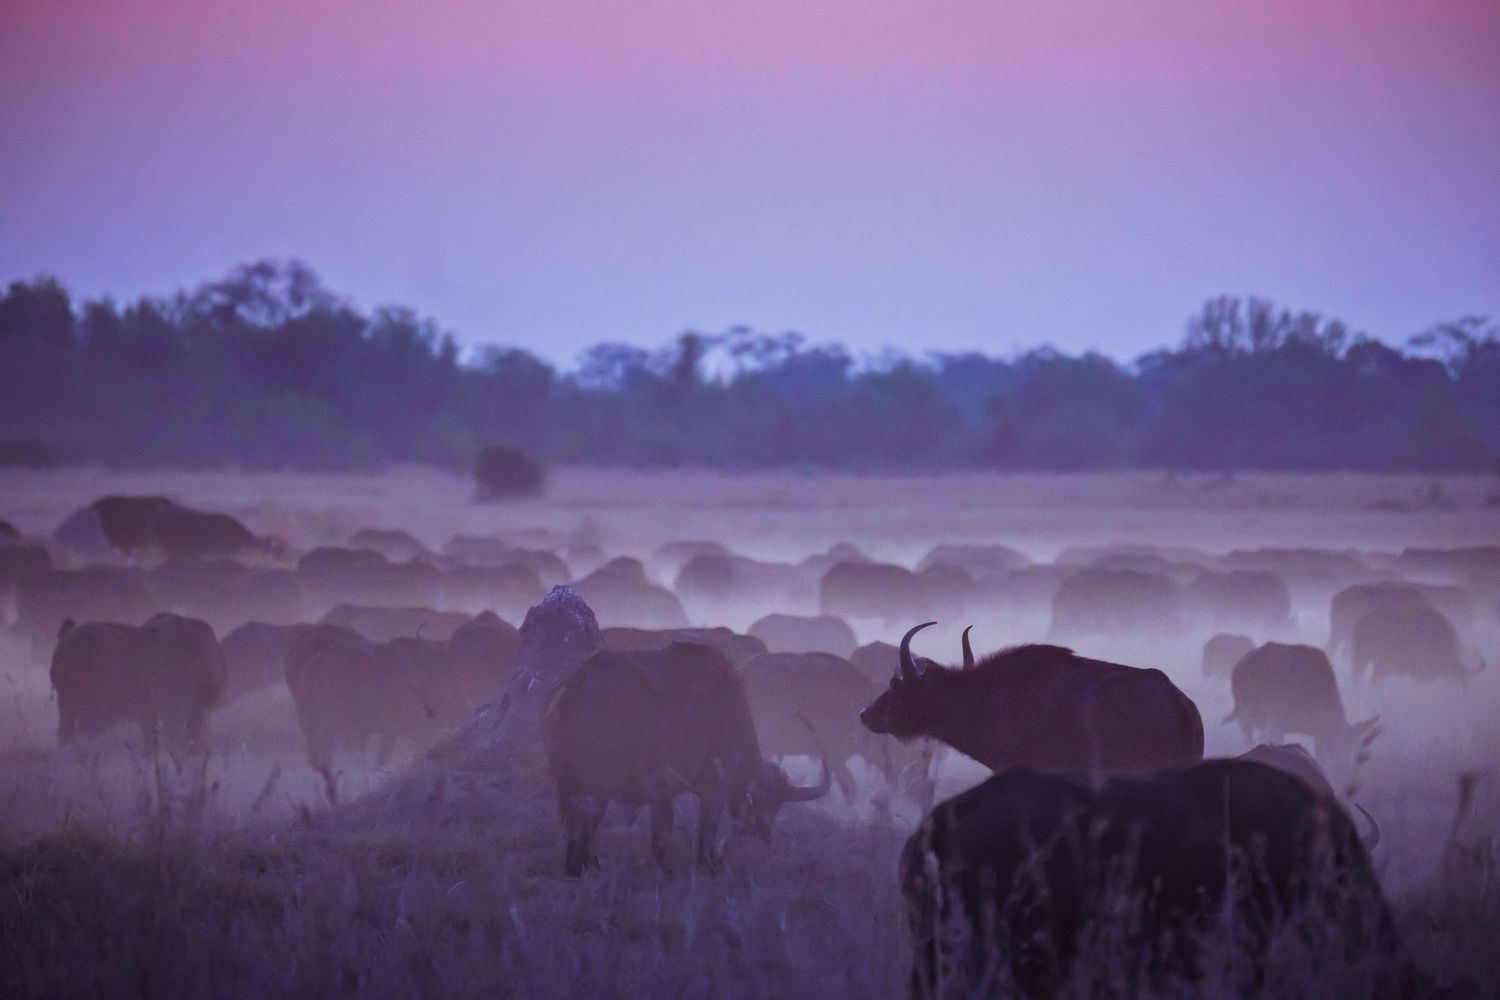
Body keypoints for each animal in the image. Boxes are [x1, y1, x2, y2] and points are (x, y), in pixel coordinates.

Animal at [542, 641, 830, 876]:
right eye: (767, 800)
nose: (763, 833)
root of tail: (576, 682)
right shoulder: (715, 788)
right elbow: (705, 833)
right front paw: (708, 867)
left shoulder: (661, 795)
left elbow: (661, 835)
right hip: (598, 788)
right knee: (583, 828)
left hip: (569, 783)